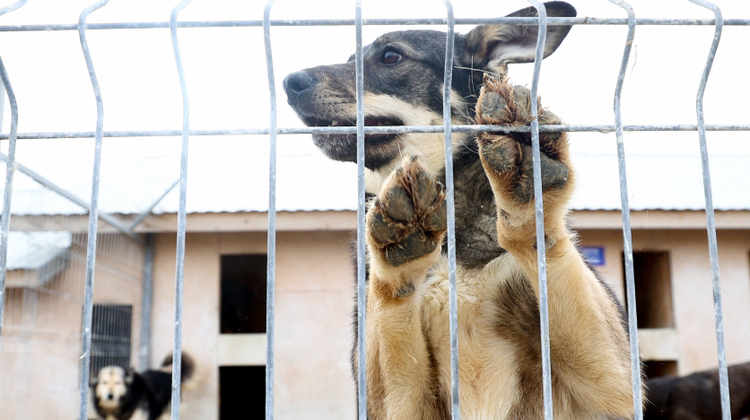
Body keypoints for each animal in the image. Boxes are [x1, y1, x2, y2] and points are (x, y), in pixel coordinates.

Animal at [284, 1, 644, 418]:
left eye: (391, 57)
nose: (290, 82)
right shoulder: (398, 403)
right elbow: (389, 302)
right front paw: (398, 256)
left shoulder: (612, 387)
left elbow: (545, 247)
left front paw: (529, 194)